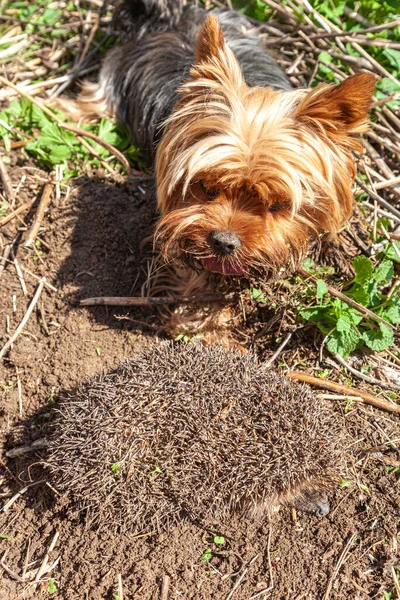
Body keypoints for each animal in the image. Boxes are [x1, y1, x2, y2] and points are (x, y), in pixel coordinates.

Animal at [61, 0, 376, 332]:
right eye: (206, 187)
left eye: (278, 205)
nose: (223, 242)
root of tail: (168, 17)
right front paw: (201, 322)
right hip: (112, 78)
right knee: (90, 100)